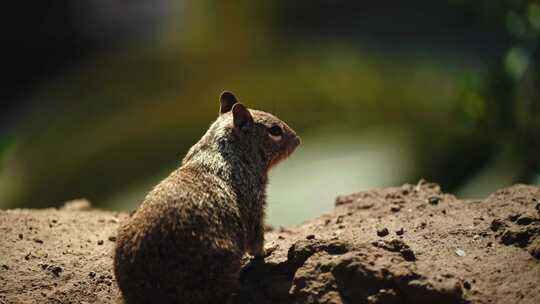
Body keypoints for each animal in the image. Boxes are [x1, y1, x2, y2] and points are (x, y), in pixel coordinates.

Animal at [114, 91, 302, 302]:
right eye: (275, 130)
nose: (298, 139)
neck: (222, 149)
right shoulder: (254, 202)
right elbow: (256, 241)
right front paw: (269, 248)